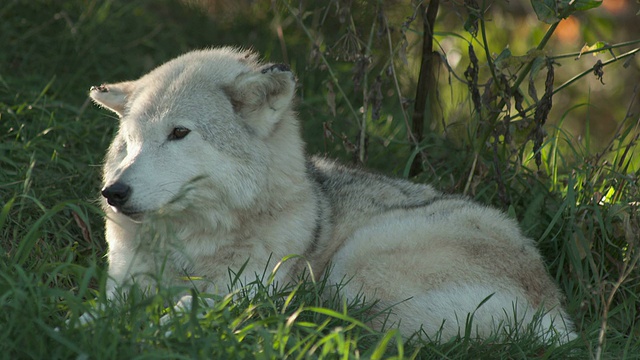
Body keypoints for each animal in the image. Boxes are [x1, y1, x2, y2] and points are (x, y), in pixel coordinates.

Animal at [89, 47, 576, 344]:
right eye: (131, 141)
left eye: (179, 133)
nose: (114, 193)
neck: (191, 243)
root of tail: (557, 317)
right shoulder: (124, 285)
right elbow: (99, 311)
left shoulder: (238, 292)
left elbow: (177, 313)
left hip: (354, 267)